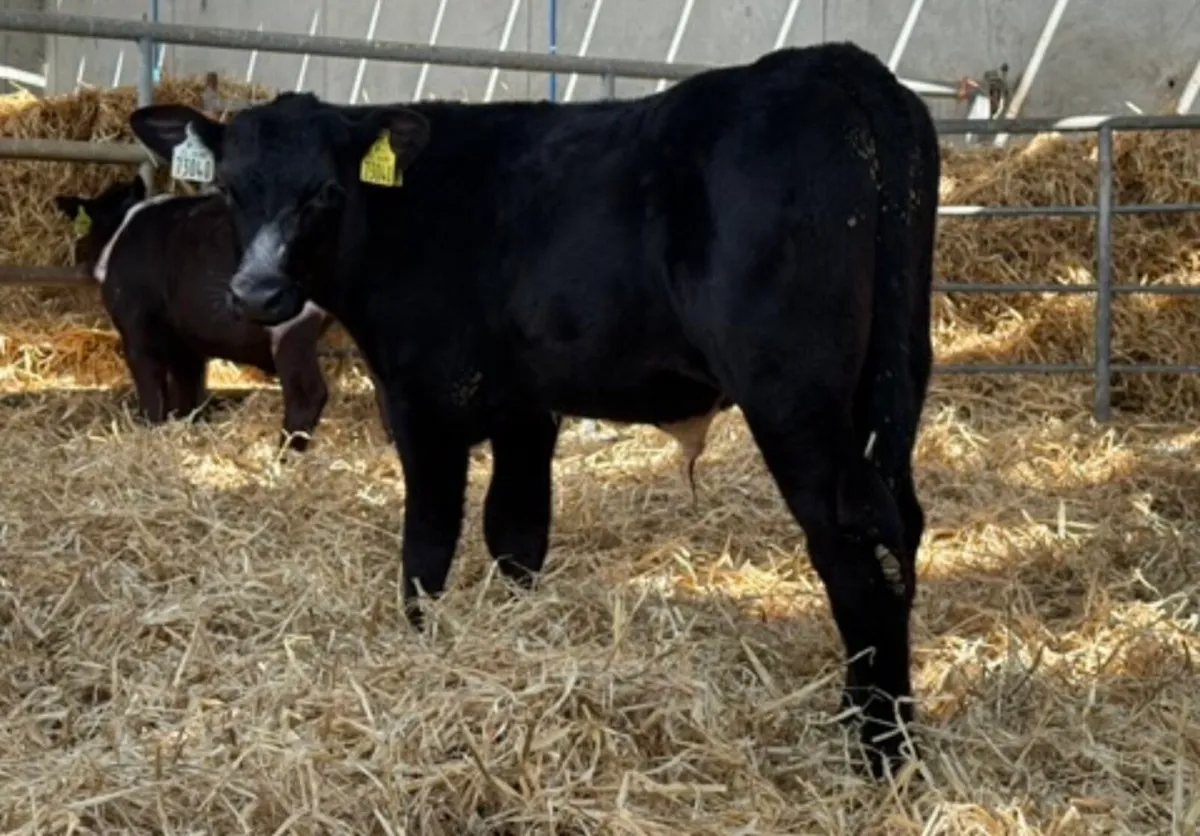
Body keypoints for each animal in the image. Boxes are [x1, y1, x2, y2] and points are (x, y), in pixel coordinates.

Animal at [53, 174, 393, 449]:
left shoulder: (137, 329)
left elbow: (152, 385)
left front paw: (151, 429)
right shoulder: (186, 342)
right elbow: (190, 388)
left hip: (291, 328)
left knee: (307, 392)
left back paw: (284, 456)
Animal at [128, 40, 940, 777]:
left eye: (326, 191)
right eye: (230, 188)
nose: (256, 293)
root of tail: (835, 62)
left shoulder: (422, 400)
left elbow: (429, 541)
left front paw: (421, 640)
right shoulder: (525, 406)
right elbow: (516, 531)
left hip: (792, 392)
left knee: (854, 537)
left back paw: (879, 750)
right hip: (891, 376)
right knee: (901, 525)